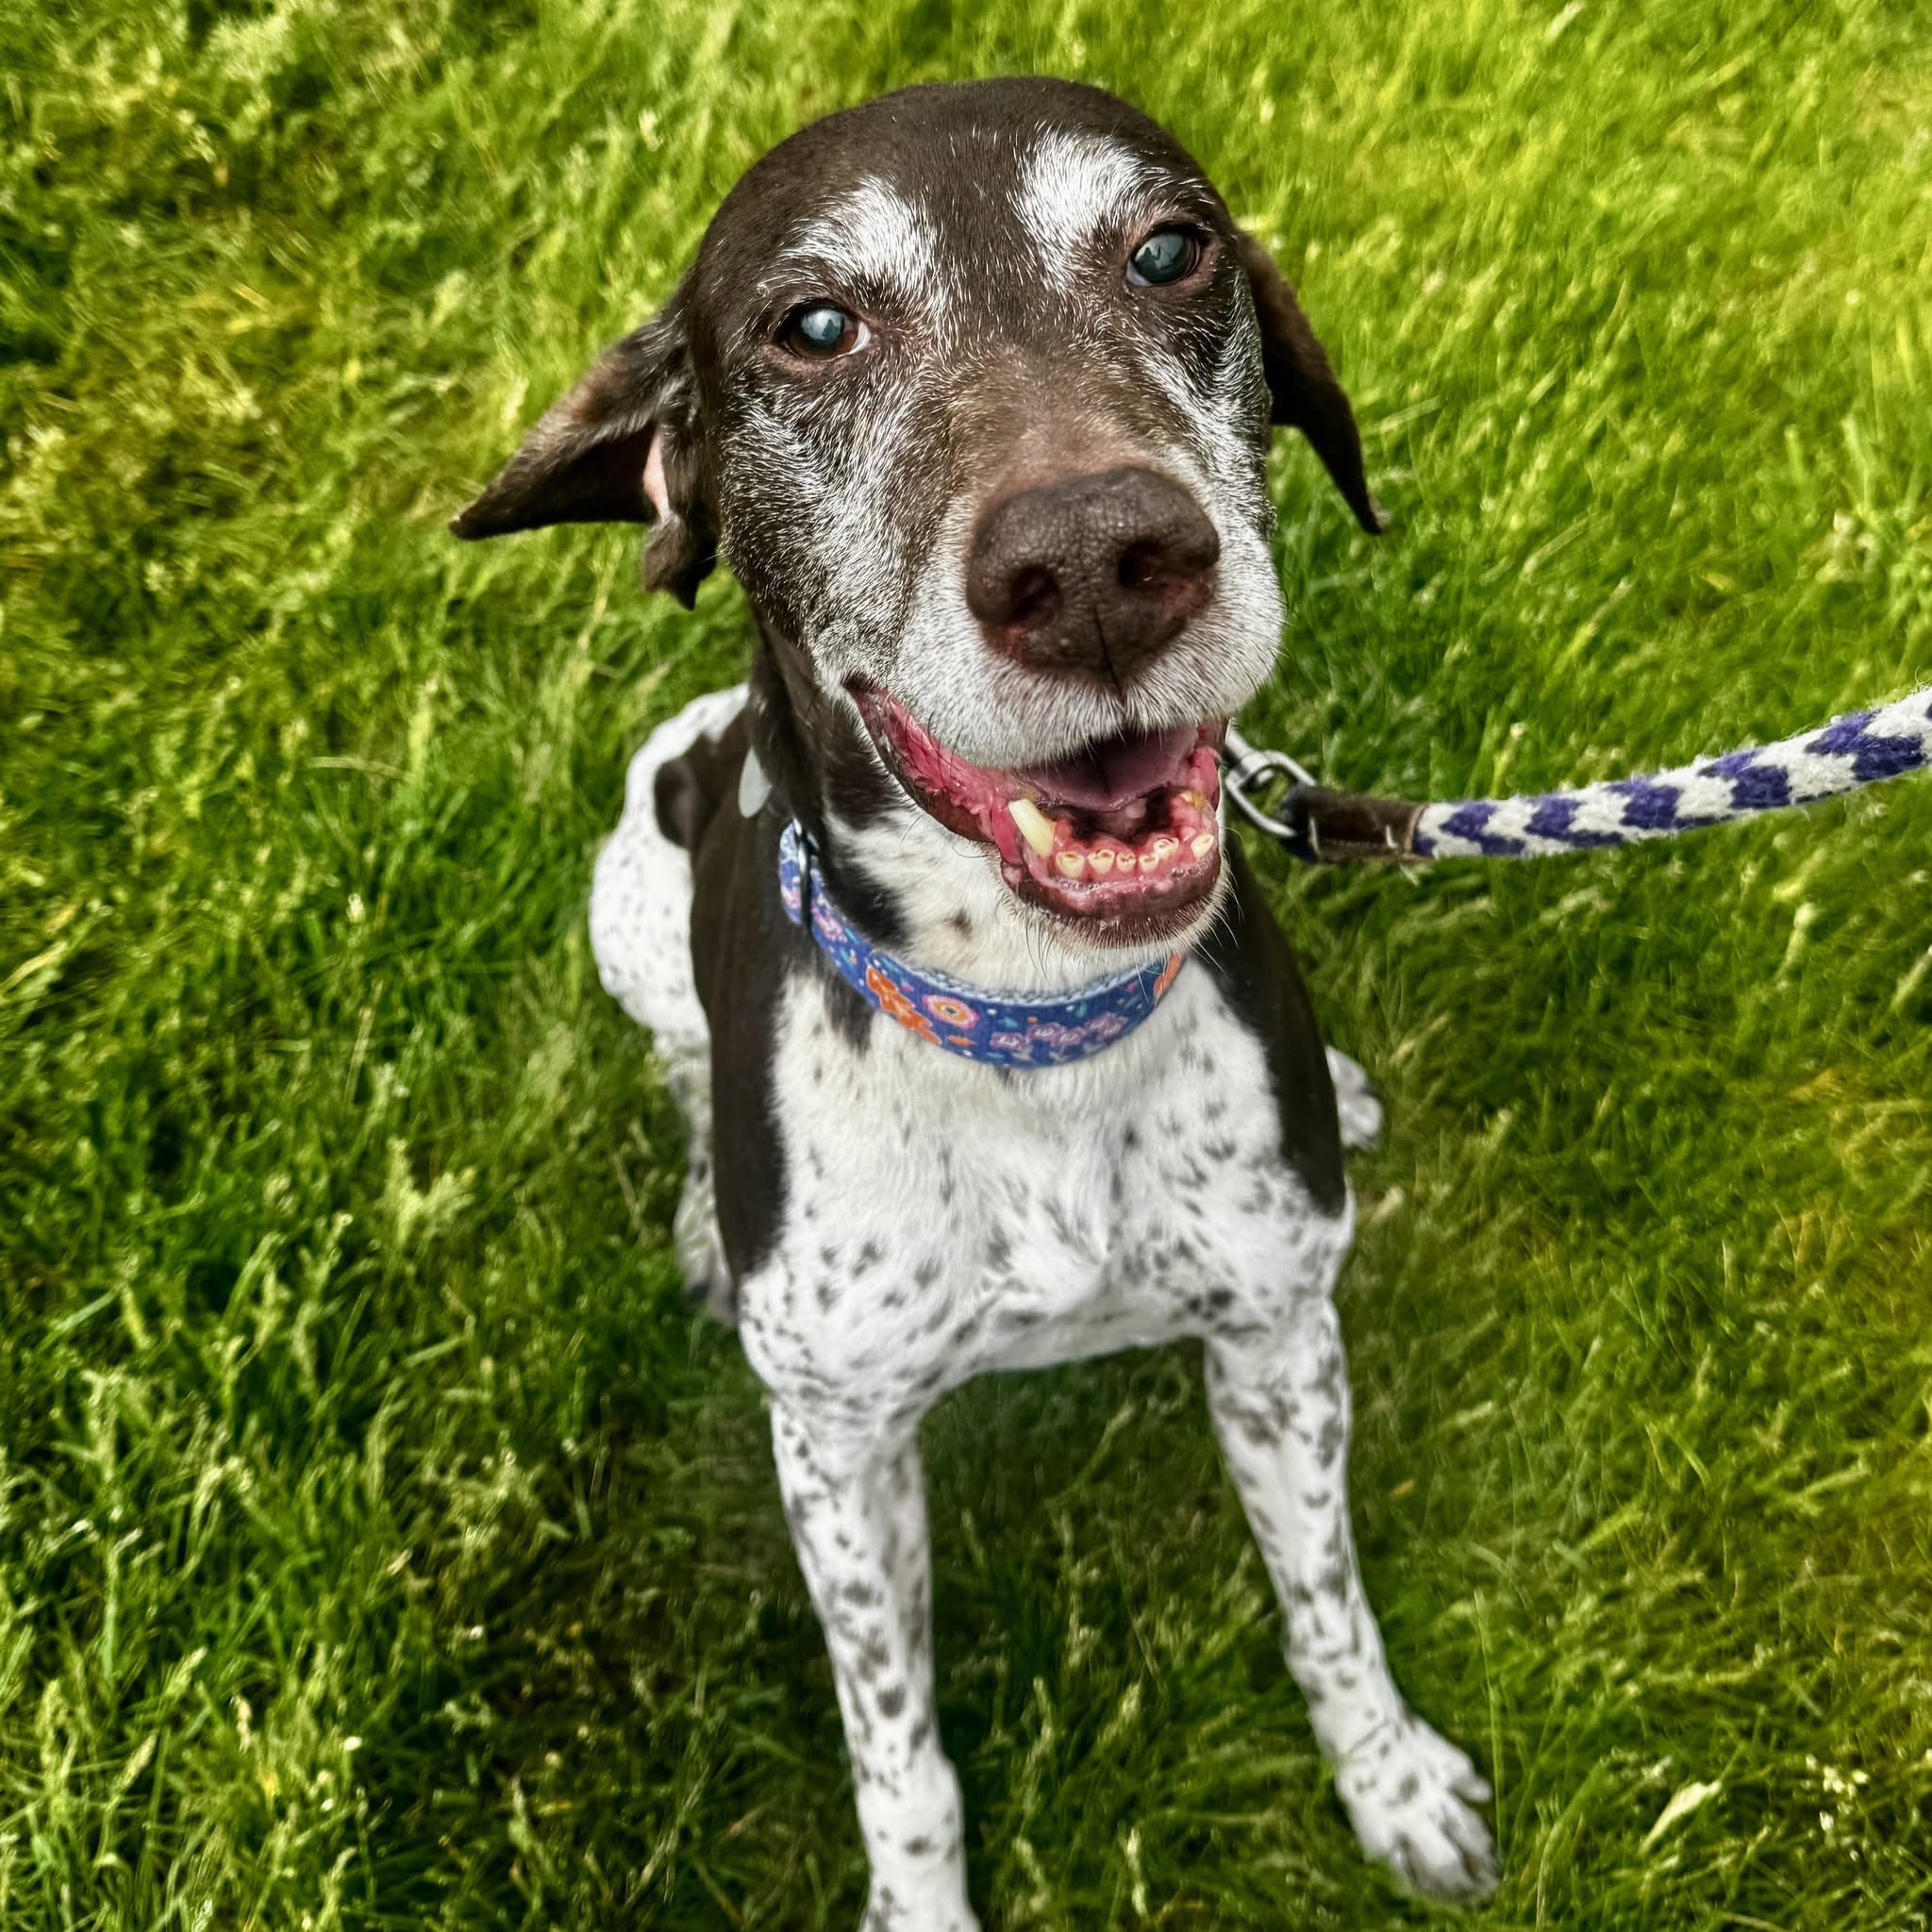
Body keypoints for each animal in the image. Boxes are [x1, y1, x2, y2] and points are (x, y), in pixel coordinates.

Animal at [454, 77, 1497, 1926]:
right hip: (628, 885)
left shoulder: (1280, 1341)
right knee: (676, 1060)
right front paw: (924, 1898)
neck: (1036, 1031)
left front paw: (1385, 1777)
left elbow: (1328, 1603)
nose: (1095, 561)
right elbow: (898, 1748)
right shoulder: (841, 1459)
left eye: (1172, 250)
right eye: (810, 326)